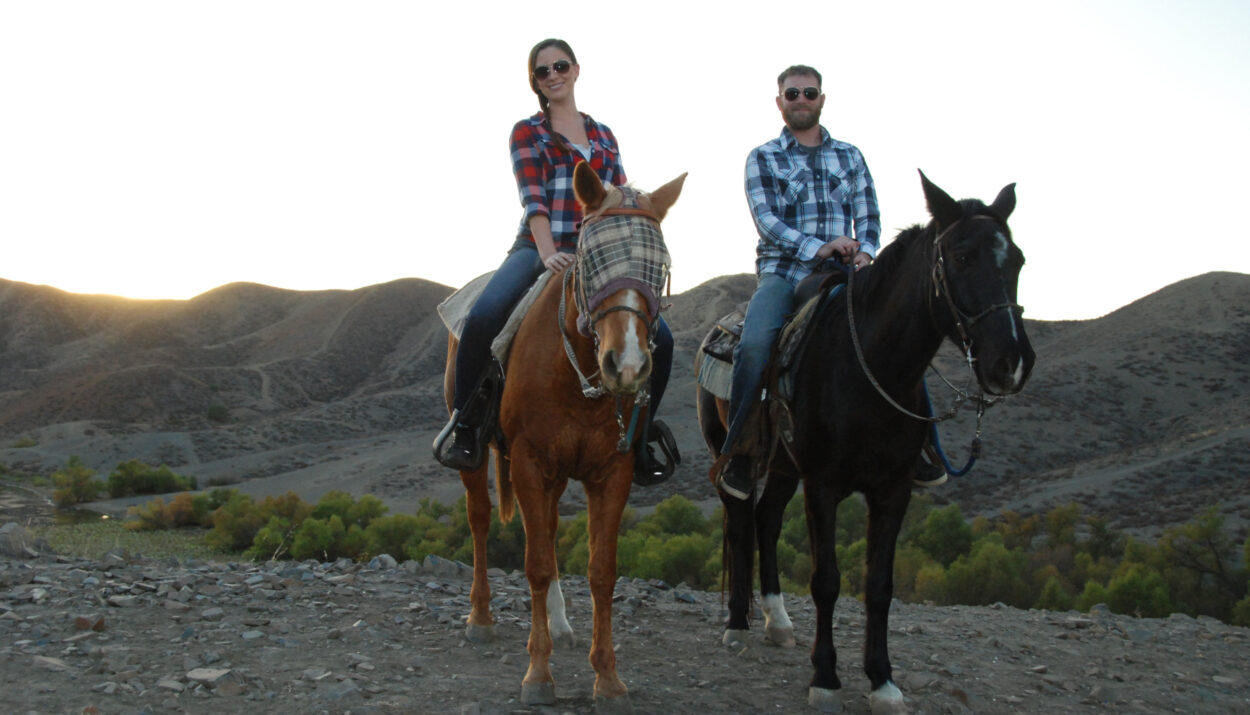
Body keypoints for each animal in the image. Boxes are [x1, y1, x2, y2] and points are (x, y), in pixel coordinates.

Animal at [445, 159, 690, 710]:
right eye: (590, 253)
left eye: (660, 263)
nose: (626, 365)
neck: (576, 374)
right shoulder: (529, 462)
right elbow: (535, 563)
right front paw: (538, 674)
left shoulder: (612, 471)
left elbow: (601, 570)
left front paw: (608, 678)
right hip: (480, 456)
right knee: (480, 519)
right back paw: (480, 618)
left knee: (552, 529)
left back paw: (559, 625)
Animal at [700, 170, 1040, 710]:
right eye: (963, 257)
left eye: (1019, 260)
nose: (1012, 362)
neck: (871, 366)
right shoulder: (822, 486)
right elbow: (826, 581)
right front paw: (824, 677)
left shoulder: (893, 490)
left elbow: (879, 585)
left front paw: (882, 681)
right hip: (731, 453)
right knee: (739, 522)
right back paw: (737, 624)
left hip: (783, 466)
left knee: (766, 521)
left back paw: (777, 621)